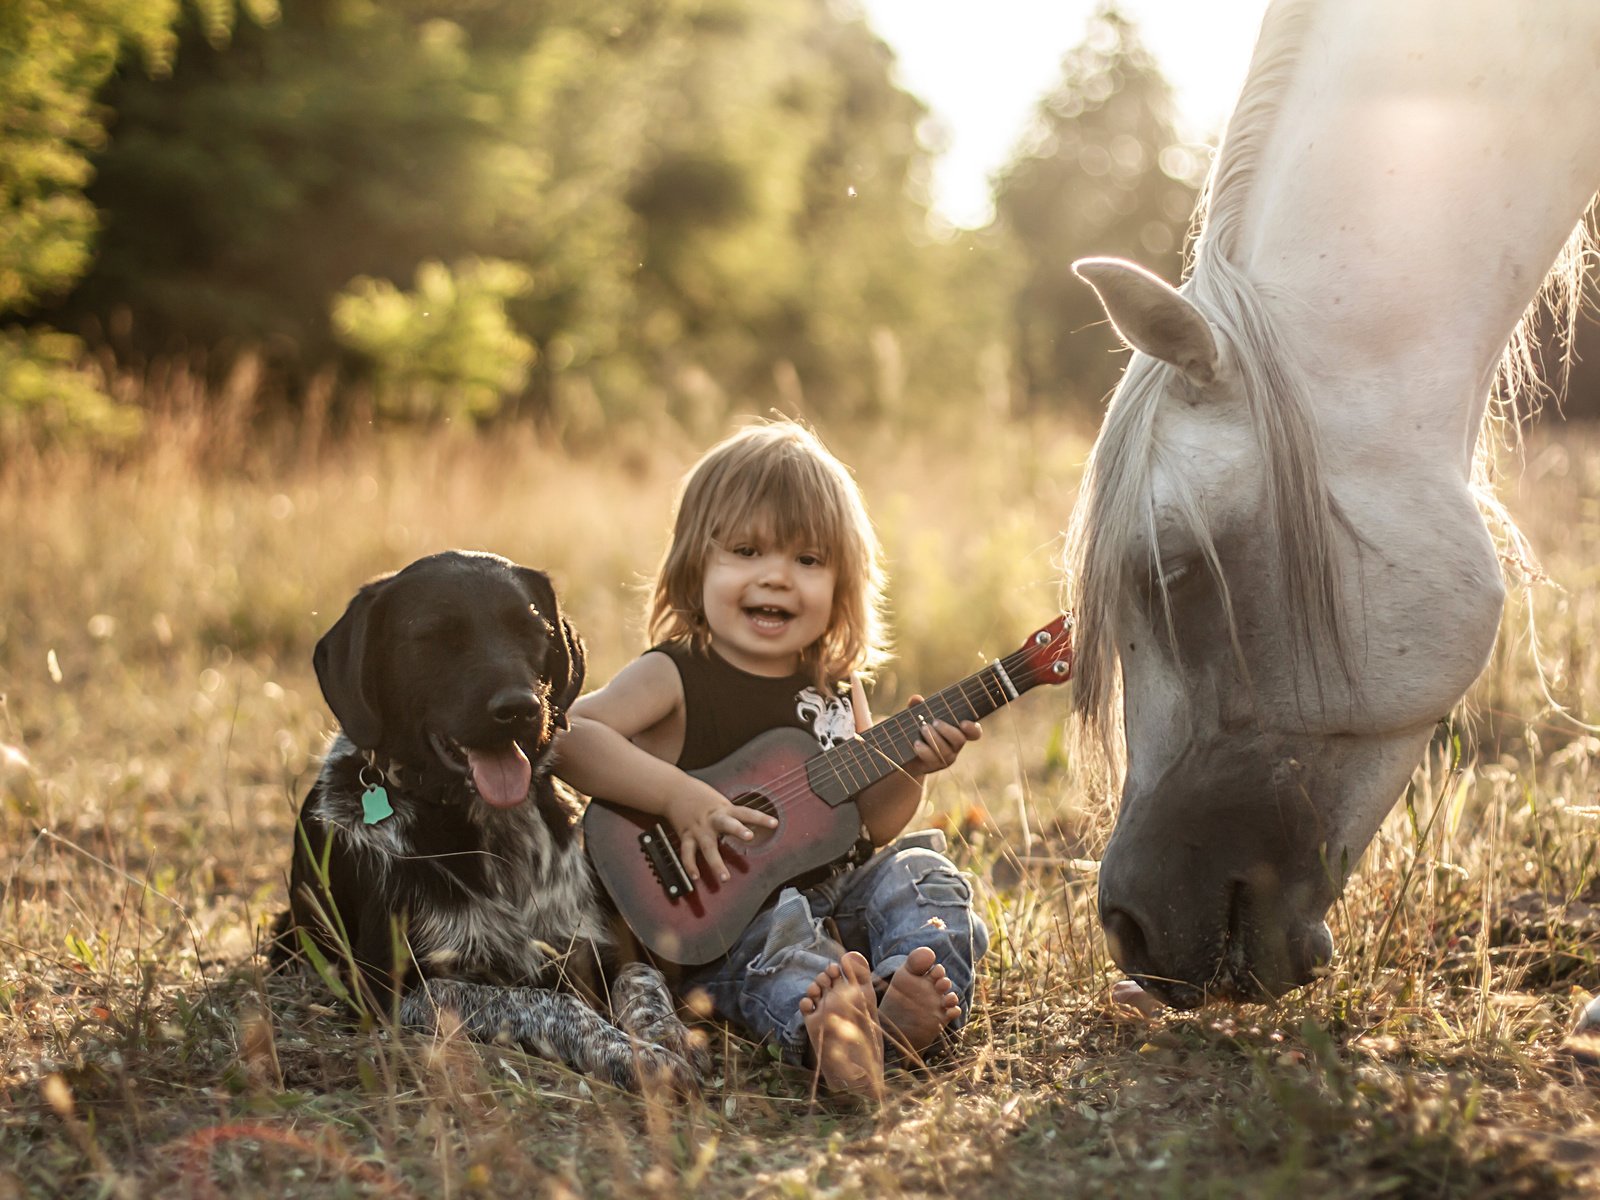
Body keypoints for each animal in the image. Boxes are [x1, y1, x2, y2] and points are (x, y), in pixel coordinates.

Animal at [278, 553, 704, 1100]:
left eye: (533, 631)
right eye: (434, 636)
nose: (520, 708)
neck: (493, 828)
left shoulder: (602, 944)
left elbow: (644, 979)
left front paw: (664, 1035)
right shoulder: (391, 991)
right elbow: (540, 1001)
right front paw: (628, 1053)